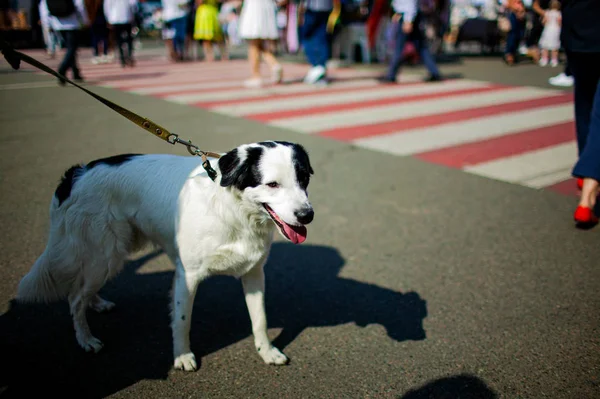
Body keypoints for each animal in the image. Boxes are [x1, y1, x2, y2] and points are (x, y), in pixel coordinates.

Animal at [15, 141, 314, 372]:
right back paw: (86, 338)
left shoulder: (254, 272)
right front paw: (182, 357)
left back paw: (97, 303)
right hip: (105, 253)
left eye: (303, 180)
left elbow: (260, 318)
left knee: (84, 289)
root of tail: (76, 173)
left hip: (112, 253)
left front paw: (267, 351)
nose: (307, 215)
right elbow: (182, 321)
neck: (233, 210)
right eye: (272, 184)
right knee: (75, 297)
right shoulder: (187, 276)